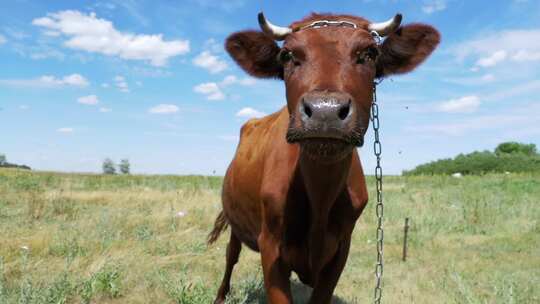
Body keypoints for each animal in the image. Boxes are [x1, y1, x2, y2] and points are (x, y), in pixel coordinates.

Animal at [207, 11, 438, 304]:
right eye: (287, 55)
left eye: (369, 53)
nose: (324, 112)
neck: (320, 197)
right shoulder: (270, 245)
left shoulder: (340, 250)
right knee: (231, 255)